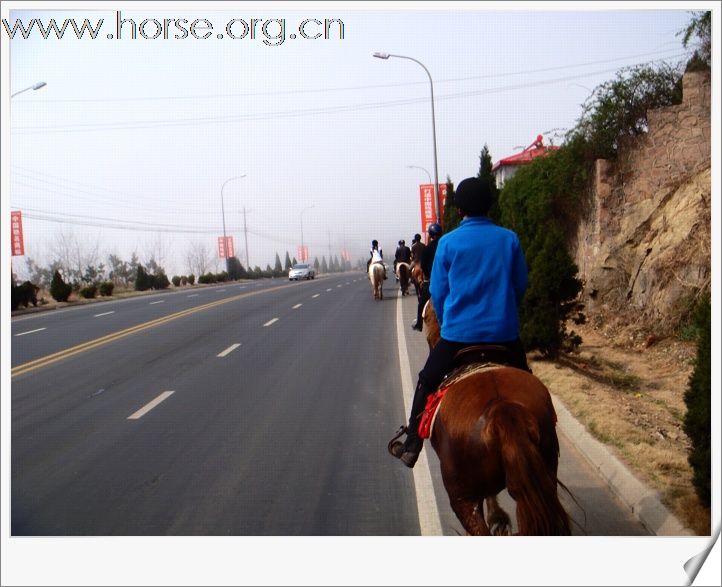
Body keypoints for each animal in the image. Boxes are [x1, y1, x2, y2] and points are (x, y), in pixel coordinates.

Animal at [422, 304, 568, 536]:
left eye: (426, 317)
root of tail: (503, 409)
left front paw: (497, 518)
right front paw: (498, 519)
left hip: (462, 498)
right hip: (545, 474)